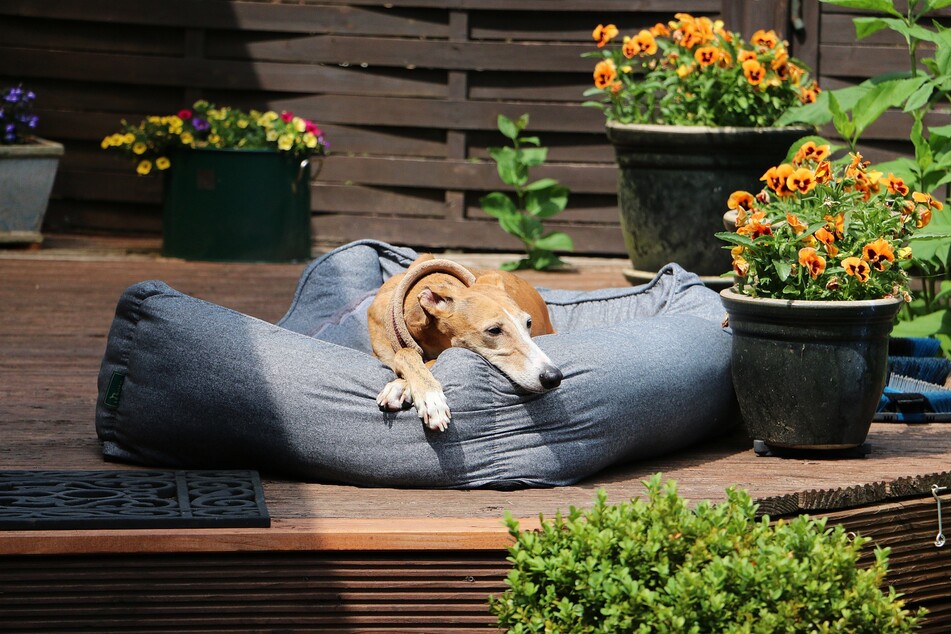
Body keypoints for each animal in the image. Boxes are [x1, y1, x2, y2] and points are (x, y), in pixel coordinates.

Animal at [370, 253, 564, 430]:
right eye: (494, 330)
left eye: (528, 323)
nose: (553, 377)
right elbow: (405, 353)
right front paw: (429, 396)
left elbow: (422, 358)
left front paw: (410, 390)